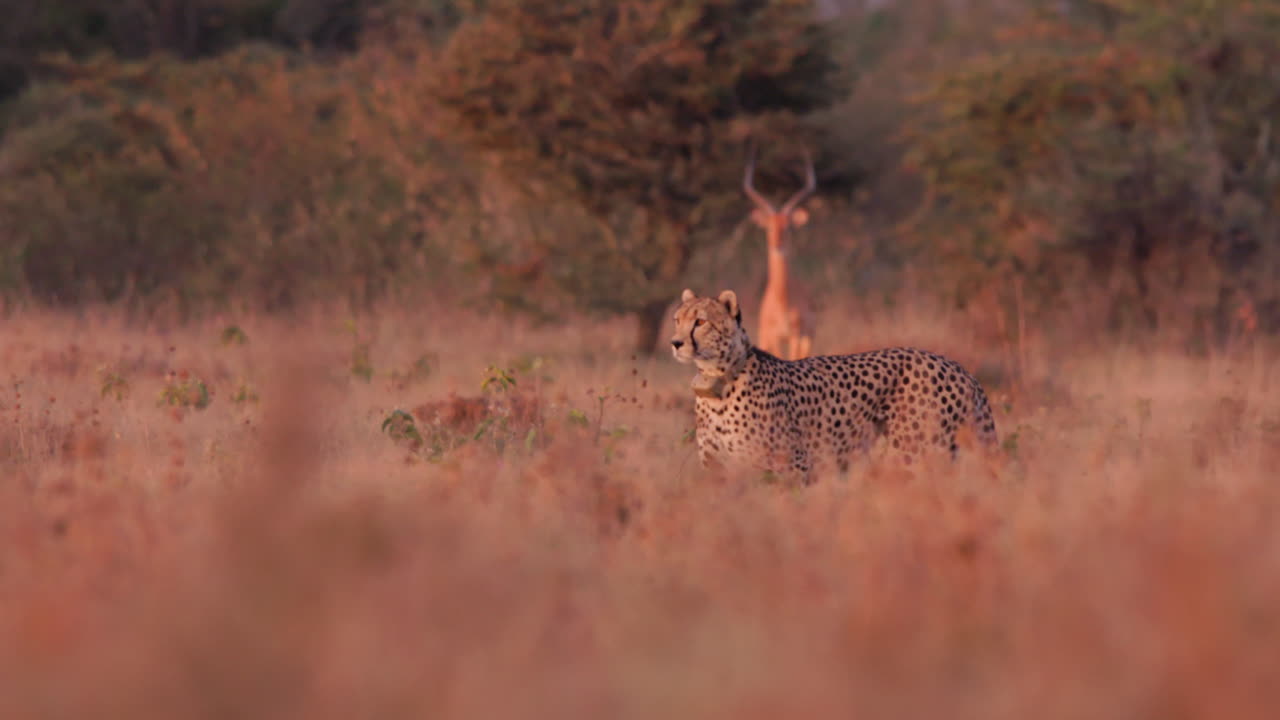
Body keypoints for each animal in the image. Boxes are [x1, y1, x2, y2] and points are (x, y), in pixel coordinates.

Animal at [670, 288, 998, 482]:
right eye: (676, 320)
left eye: (700, 322)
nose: (675, 342)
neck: (717, 381)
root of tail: (953, 364)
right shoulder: (719, 471)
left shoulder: (792, 466)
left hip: (919, 451)